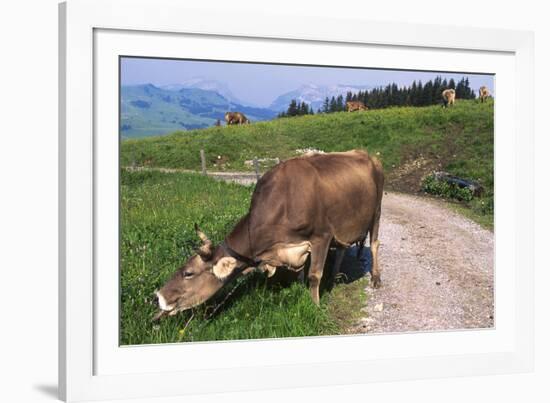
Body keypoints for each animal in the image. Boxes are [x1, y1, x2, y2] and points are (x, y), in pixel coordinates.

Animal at [153, 148, 386, 318]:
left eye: (188, 273)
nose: (159, 297)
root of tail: (366, 153)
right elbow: (301, 272)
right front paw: (300, 288)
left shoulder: (322, 236)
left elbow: (314, 275)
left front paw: (315, 305)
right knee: (342, 248)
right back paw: (335, 277)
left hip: (376, 211)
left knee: (374, 243)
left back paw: (375, 278)